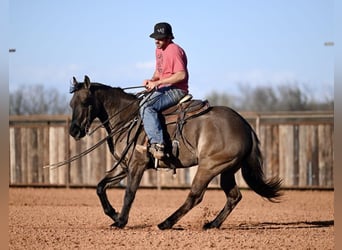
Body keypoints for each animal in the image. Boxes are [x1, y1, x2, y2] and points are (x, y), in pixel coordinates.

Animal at [68, 75, 282, 229]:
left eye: (86, 102)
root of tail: (244, 123)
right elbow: (100, 186)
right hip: (227, 169)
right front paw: (113, 214)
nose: (74, 131)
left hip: (209, 167)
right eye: (71, 104)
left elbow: (129, 193)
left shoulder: (137, 163)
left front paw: (120, 221)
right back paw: (212, 224)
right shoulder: (124, 165)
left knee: (195, 196)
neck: (127, 118)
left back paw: (165, 223)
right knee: (234, 196)